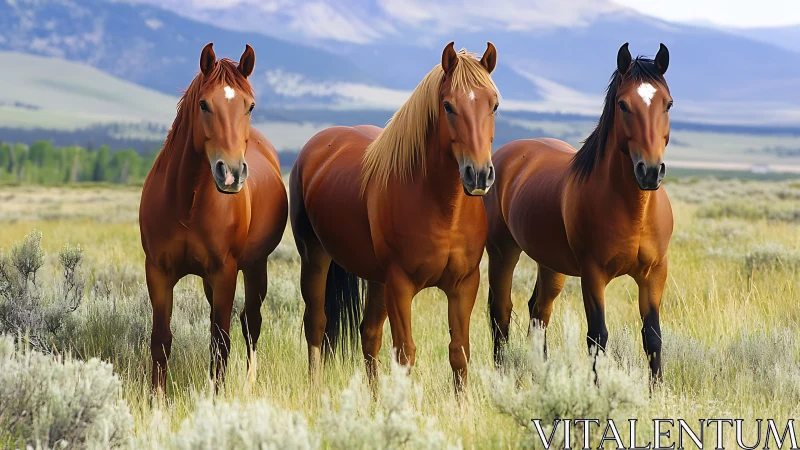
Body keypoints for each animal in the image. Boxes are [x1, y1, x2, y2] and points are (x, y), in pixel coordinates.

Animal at [139, 43, 288, 392]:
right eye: (204, 104)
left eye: (250, 106)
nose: (231, 173)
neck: (187, 203)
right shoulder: (158, 272)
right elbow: (161, 340)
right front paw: (156, 399)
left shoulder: (225, 272)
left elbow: (221, 342)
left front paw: (216, 398)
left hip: (254, 265)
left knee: (250, 321)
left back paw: (248, 384)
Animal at [290, 42, 499, 393]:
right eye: (448, 106)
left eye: (494, 105)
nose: (479, 175)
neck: (443, 210)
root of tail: (319, 144)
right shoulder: (401, 285)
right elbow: (405, 354)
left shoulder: (464, 285)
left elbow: (459, 353)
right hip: (315, 257)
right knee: (316, 324)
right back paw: (315, 390)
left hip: (376, 280)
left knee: (369, 334)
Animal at [484, 43, 673, 380]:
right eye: (623, 105)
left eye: (668, 104)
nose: (650, 171)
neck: (634, 211)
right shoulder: (592, 273)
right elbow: (597, 337)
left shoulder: (654, 273)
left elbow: (652, 336)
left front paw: (658, 388)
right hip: (503, 252)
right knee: (501, 312)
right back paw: (502, 372)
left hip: (550, 264)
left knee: (538, 311)